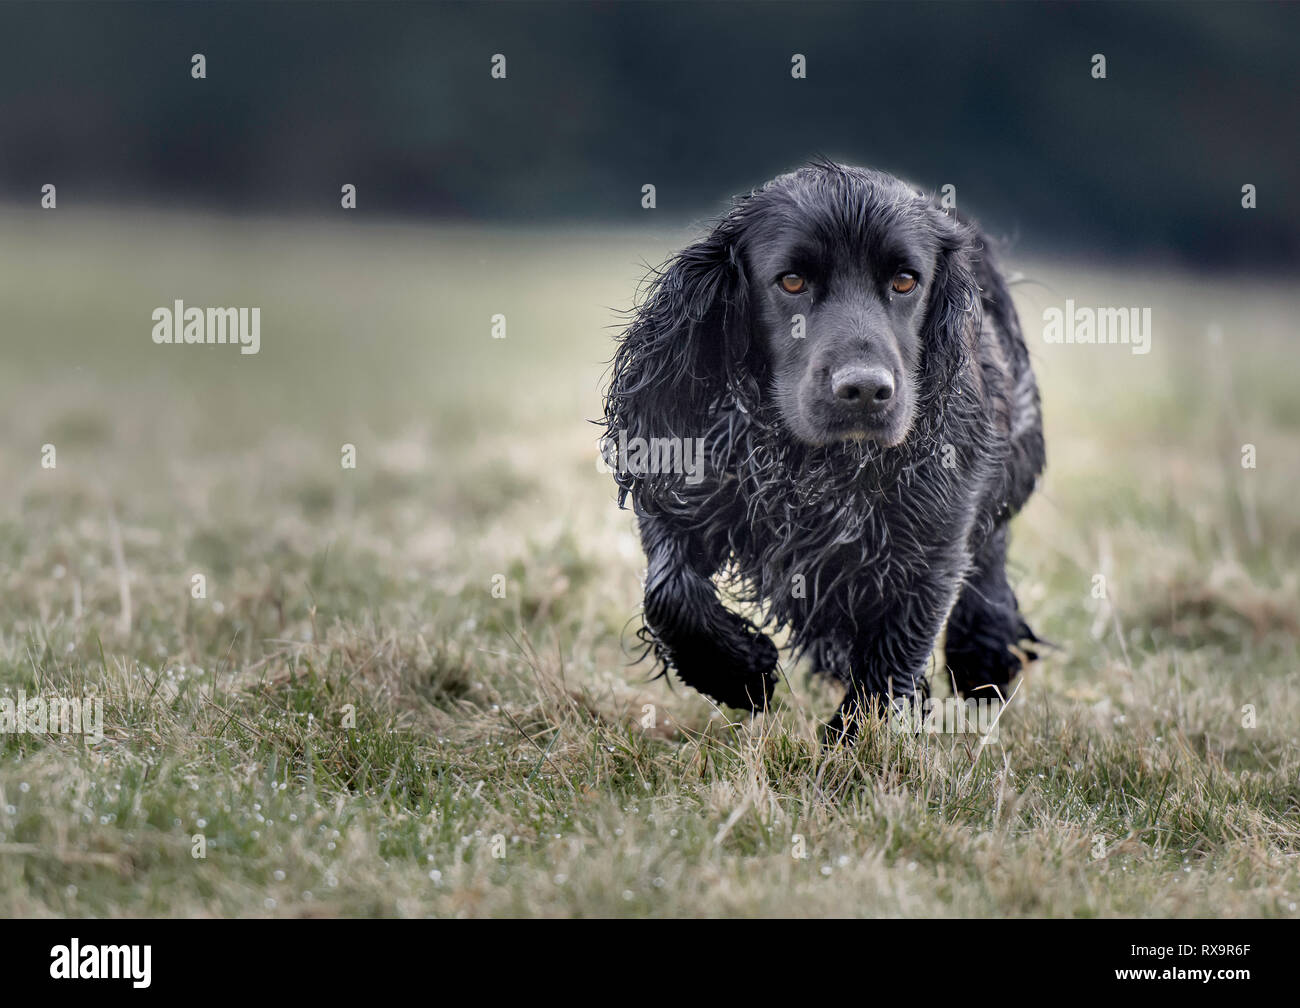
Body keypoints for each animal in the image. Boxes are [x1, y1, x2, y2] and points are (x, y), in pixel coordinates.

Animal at [600, 159, 1045, 738]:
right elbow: (668, 593)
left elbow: (890, 661)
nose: (865, 390)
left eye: (906, 281)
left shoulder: (932, 545)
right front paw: (738, 671)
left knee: (988, 560)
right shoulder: (684, 490)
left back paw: (984, 658)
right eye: (792, 281)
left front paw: (854, 745)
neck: (816, 466)